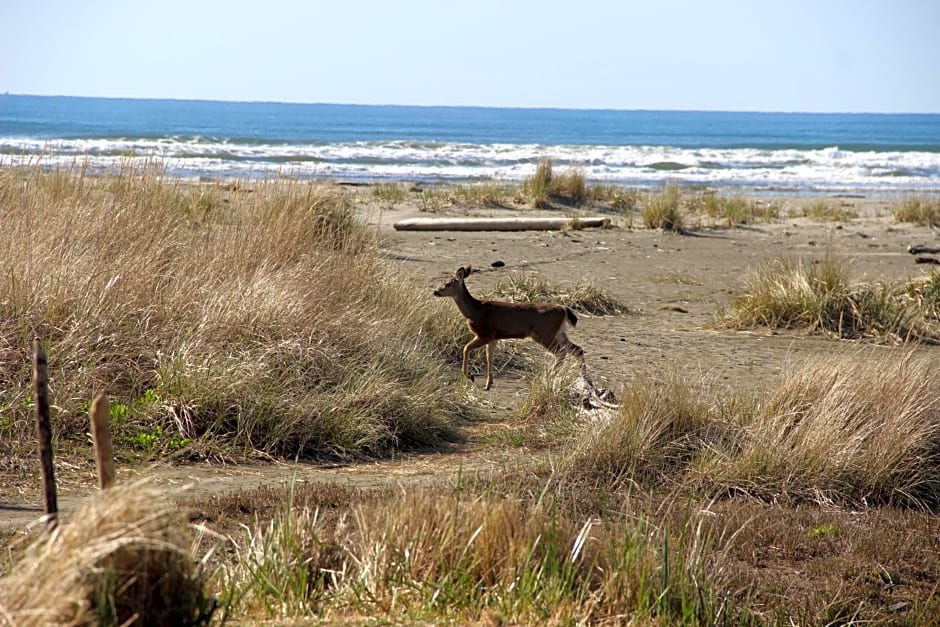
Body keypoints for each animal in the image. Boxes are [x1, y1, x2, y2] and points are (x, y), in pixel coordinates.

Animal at [432, 264, 580, 390]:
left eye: (448, 284)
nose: (435, 291)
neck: (475, 311)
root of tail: (563, 309)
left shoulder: (485, 334)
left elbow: (466, 348)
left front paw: (471, 376)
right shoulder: (493, 337)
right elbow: (489, 357)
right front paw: (488, 384)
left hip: (544, 333)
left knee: (561, 352)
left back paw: (551, 376)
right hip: (558, 333)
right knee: (577, 349)